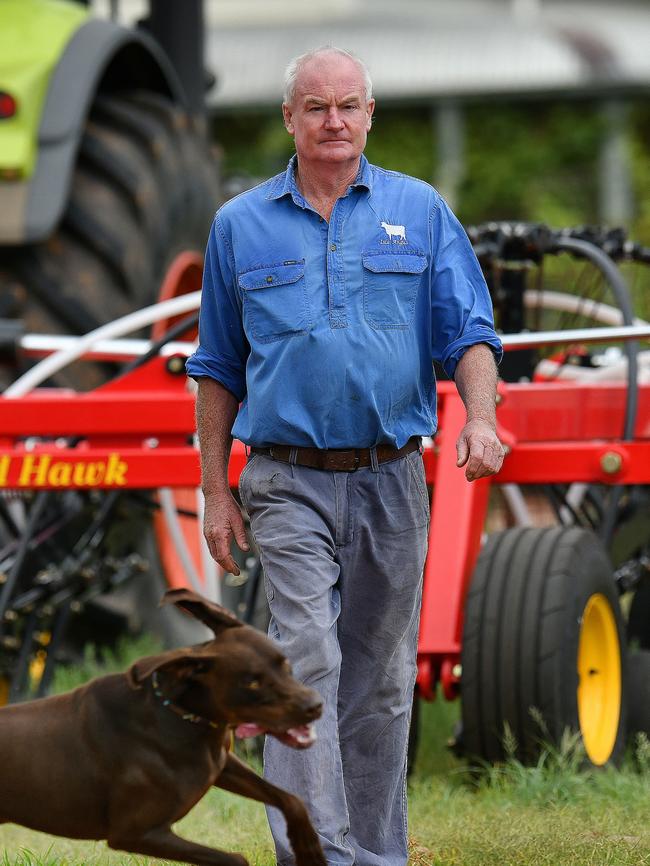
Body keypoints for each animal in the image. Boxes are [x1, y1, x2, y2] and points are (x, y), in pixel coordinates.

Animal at [0, 588, 324, 864]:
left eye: (284, 664)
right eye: (252, 682)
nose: (316, 705)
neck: (178, 714)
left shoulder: (221, 764)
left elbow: (291, 799)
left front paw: (309, 849)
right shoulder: (136, 833)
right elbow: (235, 859)